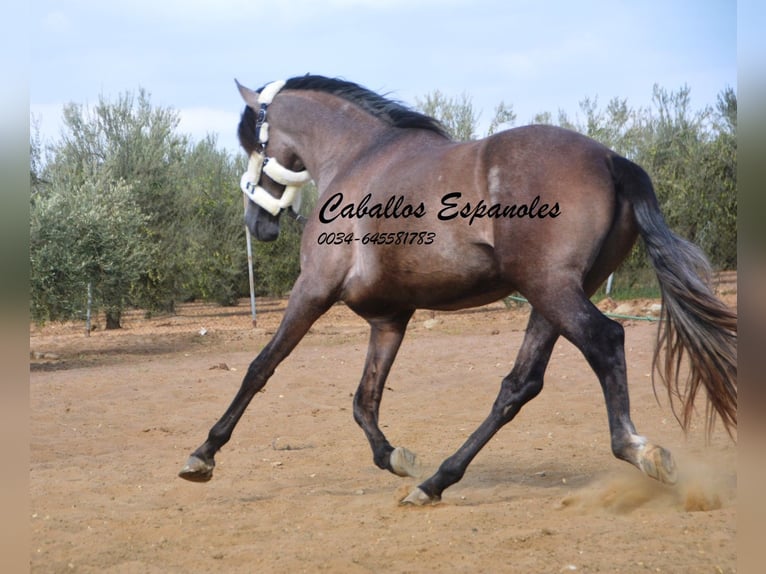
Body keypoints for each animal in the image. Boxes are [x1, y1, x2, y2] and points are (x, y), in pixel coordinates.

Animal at [180, 74, 736, 506]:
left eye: (252, 145)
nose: (258, 225)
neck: (359, 158)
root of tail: (611, 159)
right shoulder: (389, 318)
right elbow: (365, 399)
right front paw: (393, 458)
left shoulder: (313, 291)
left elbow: (260, 368)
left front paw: (203, 455)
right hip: (551, 299)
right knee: (518, 386)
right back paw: (433, 482)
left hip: (552, 290)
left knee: (604, 342)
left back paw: (637, 449)